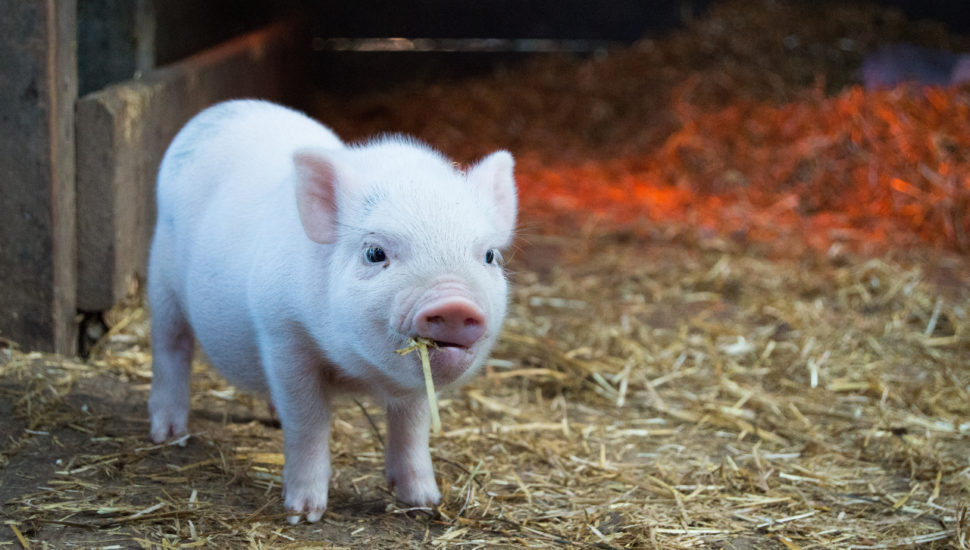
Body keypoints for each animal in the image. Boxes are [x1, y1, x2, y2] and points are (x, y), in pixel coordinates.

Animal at [147, 99, 516, 524]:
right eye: (375, 252)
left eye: (489, 255)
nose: (454, 303)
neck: (358, 372)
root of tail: (221, 109)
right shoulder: (282, 334)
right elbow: (308, 422)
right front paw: (303, 514)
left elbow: (412, 426)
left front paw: (425, 502)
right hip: (161, 279)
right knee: (171, 346)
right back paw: (168, 435)